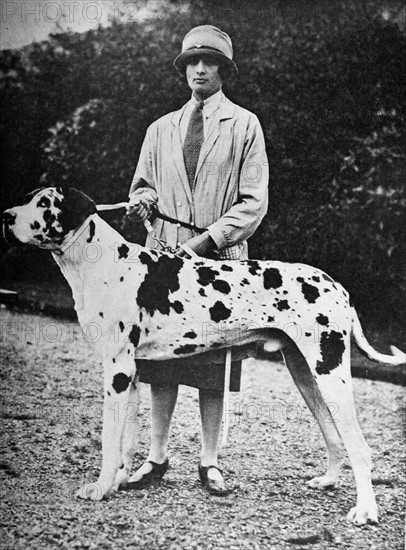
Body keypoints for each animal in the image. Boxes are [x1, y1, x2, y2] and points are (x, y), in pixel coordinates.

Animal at [2, 189, 402, 528]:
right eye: (28, 198)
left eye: (45, 204)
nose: (6, 216)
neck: (101, 263)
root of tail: (339, 287)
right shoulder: (130, 374)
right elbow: (126, 440)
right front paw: (118, 482)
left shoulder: (116, 371)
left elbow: (109, 438)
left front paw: (100, 489)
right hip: (305, 373)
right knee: (333, 434)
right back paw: (329, 480)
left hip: (329, 372)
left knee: (360, 446)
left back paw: (366, 511)